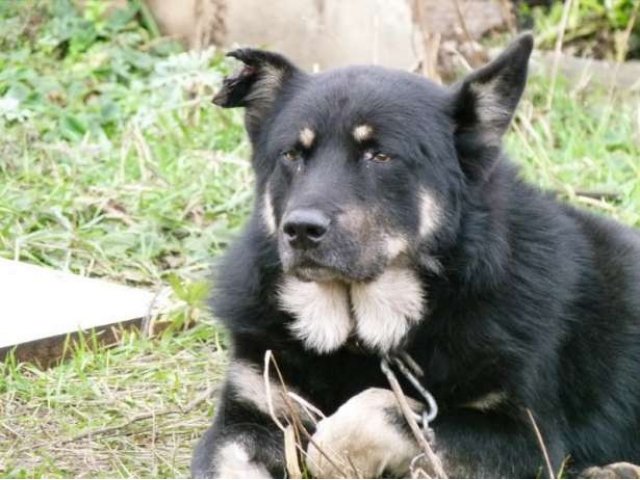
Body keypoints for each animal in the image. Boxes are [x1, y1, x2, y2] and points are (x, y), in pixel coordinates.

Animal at [191, 35, 640, 478]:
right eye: (291, 155)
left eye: (380, 156)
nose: (301, 230)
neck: (359, 335)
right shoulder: (248, 411)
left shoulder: (527, 437)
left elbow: (374, 412)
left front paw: (332, 453)